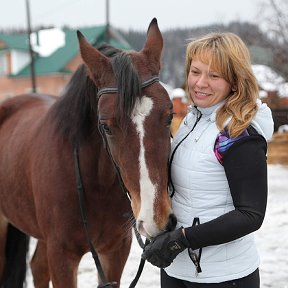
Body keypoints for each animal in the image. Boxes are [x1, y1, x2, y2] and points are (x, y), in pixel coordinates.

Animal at [0, 18, 177, 288]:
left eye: (169, 115)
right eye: (106, 126)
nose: (155, 218)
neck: (95, 183)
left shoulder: (115, 251)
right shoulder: (62, 256)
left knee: (38, 266)